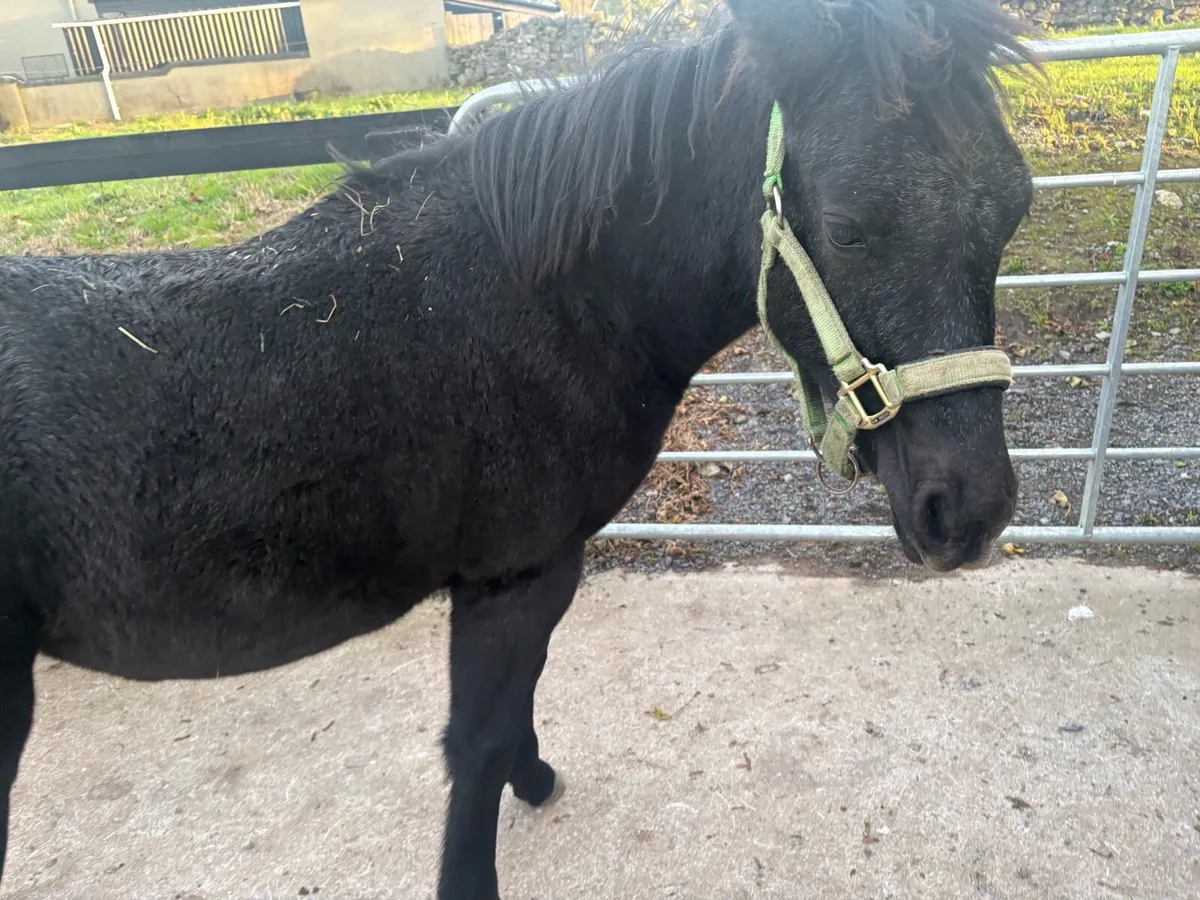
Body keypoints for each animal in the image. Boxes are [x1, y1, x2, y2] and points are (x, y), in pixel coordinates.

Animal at [0, 0, 1038, 895]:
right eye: (853, 229)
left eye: (1015, 208)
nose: (970, 512)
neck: (544, 304)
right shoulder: (515, 576)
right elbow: (480, 739)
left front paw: (533, 780)